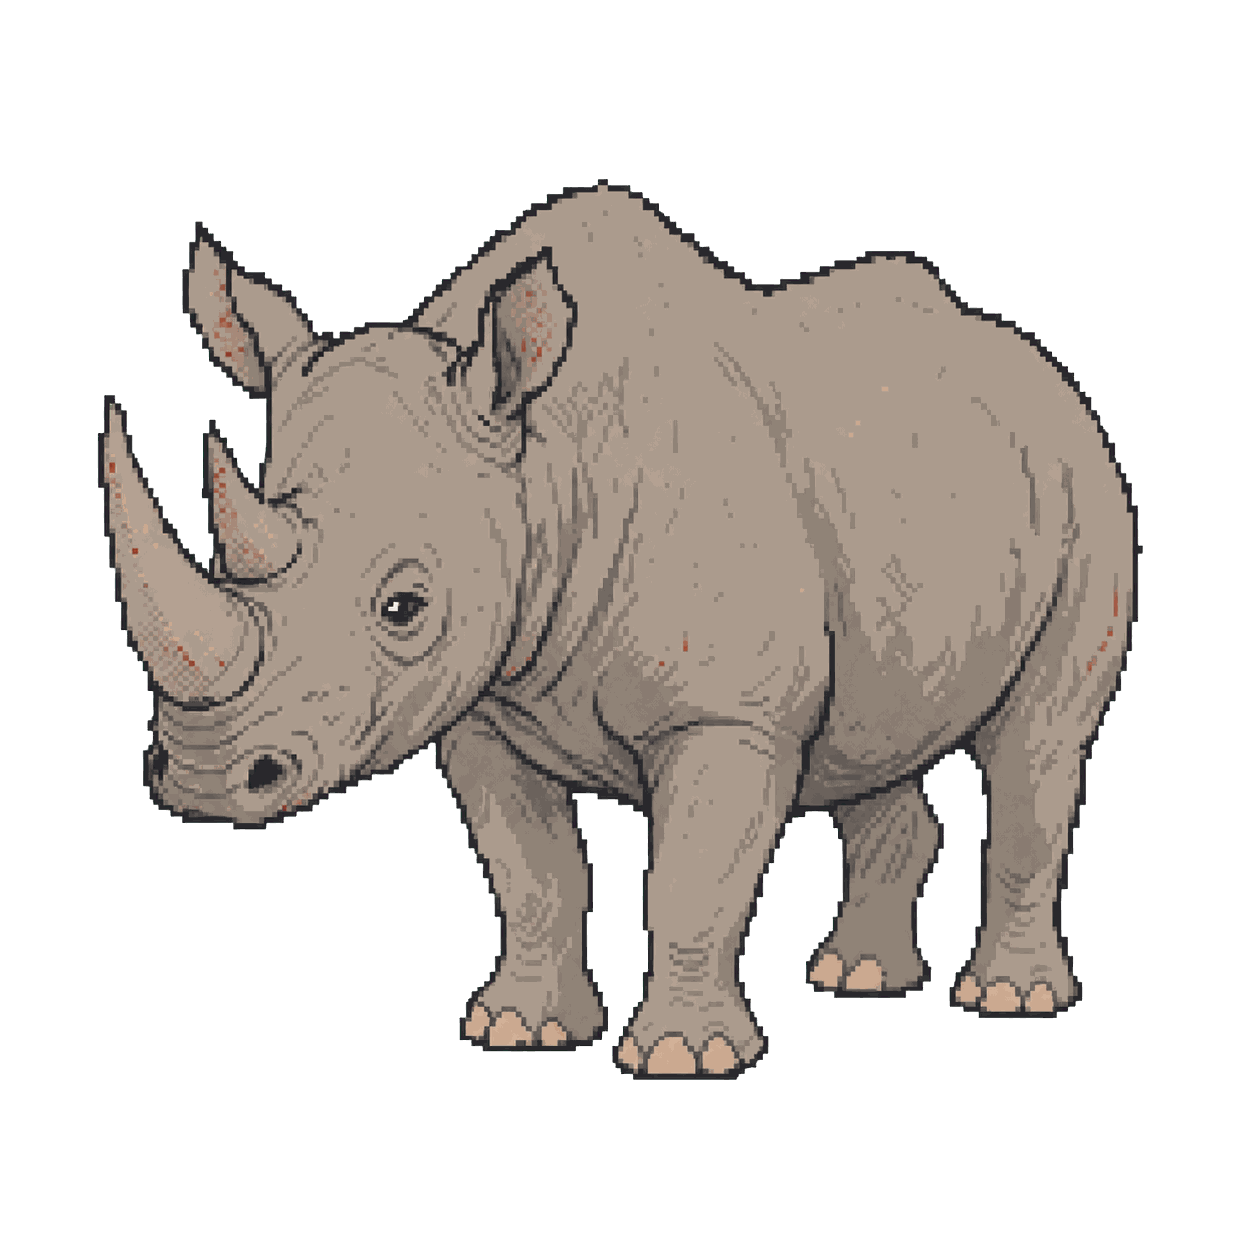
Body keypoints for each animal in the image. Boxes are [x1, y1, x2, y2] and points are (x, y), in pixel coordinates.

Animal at [102, 186, 1134, 1076]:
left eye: (404, 607)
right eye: (227, 560)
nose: (201, 782)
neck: (547, 467)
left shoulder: (724, 714)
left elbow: (690, 881)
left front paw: (683, 1057)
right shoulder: (483, 705)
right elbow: (533, 877)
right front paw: (518, 1030)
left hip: (1085, 479)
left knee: (1038, 743)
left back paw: (1006, 999)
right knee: (876, 743)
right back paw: (861, 977)